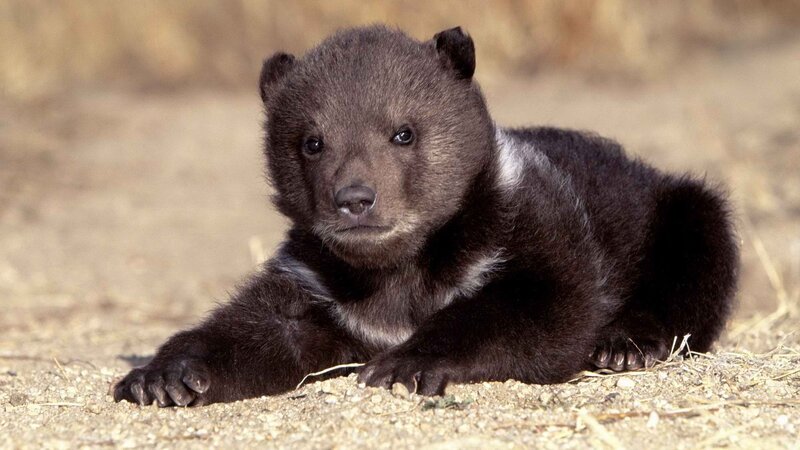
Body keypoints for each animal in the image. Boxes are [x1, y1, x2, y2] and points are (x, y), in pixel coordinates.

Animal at [113, 25, 739, 407]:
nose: (355, 198)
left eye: (403, 132)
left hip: (677, 209)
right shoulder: (319, 284)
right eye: (311, 141)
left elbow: (541, 308)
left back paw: (625, 343)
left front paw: (403, 364)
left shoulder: (534, 230)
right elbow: (261, 328)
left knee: (699, 258)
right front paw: (164, 375)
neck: (400, 268)